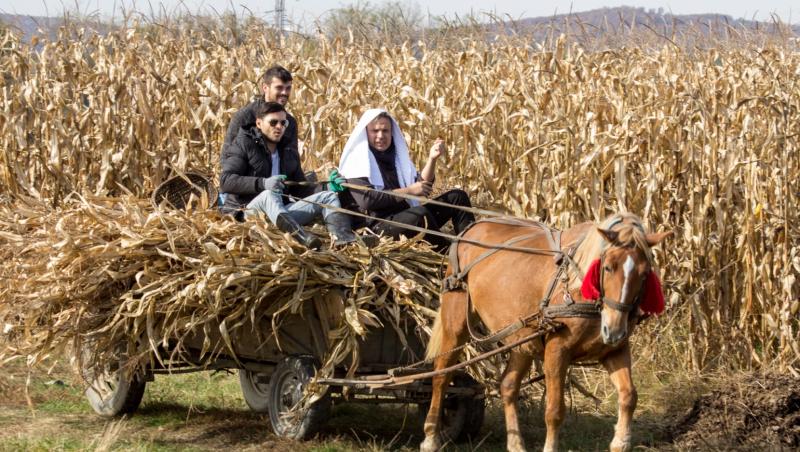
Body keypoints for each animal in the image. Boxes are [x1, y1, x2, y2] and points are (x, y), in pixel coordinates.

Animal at [422, 214, 672, 452]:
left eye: (645, 273)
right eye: (608, 266)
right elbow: (554, 410)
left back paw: (516, 444)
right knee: (441, 376)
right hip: (455, 323)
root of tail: (471, 229)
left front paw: (621, 442)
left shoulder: (614, 350)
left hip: (522, 338)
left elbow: (629, 395)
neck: (577, 287)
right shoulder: (557, 349)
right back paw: (431, 436)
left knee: (508, 385)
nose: (614, 329)